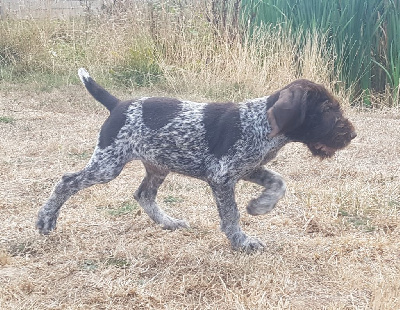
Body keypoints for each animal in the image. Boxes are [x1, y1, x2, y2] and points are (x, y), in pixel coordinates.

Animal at [36, 68, 356, 252]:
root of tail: (118, 104)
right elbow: (231, 215)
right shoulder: (223, 177)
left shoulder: (249, 168)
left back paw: (168, 222)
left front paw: (260, 206)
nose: (353, 134)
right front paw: (241, 242)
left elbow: (279, 182)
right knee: (66, 182)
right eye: (327, 109)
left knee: (143, 195)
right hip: (107, 165)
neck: (260, 123)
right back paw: (45, 220)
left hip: (158, 165)